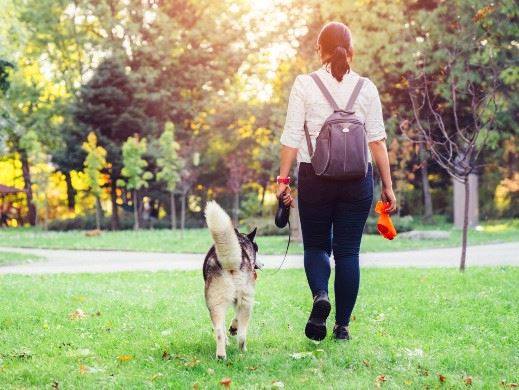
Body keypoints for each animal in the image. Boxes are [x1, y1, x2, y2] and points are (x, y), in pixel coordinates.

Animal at [202, 201, 262, 360]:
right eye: (257, 249)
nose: (262, 264)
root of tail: (231, 263)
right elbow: (235, 319)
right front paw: (233, 328)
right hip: (245, 303)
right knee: (240, 334)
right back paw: (240, 351)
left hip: (216, 303)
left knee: (220, 331)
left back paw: (222, 355)